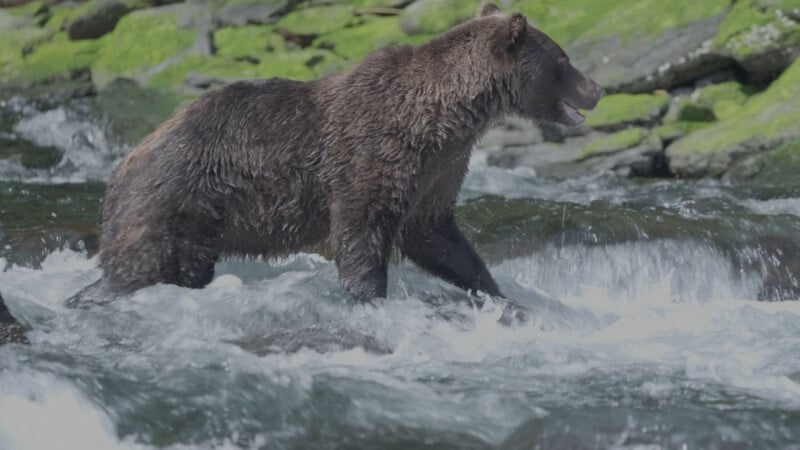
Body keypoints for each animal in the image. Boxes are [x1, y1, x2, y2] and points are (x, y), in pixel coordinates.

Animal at [67, 3, 603, 307]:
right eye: (564, 59)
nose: (596, 89)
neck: (447, 115)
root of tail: (119, 167)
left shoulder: (439, 168)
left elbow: (435, 234)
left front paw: (494, 289)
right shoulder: (373, 153)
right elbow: (360, 232)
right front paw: (369, 299)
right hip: (173, 199)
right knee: (142, 267)